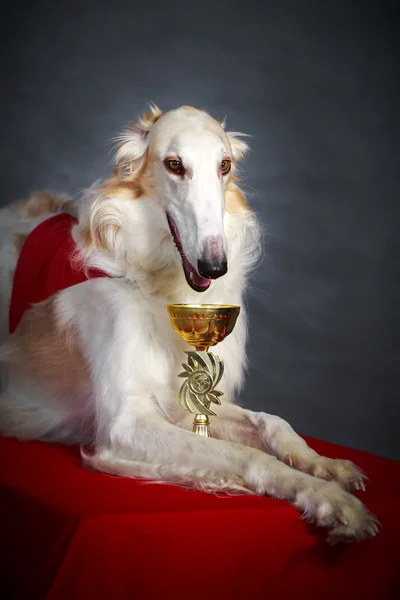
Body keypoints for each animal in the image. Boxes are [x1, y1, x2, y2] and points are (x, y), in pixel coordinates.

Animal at [0, 105, 378, 540]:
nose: (214, 266)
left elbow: (273, 422)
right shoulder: (125, 423)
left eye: (225, 165)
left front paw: (325, 464)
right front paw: (328, 498)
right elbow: (246, 455)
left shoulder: (187, 404)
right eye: (174, 165)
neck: (154, 281)